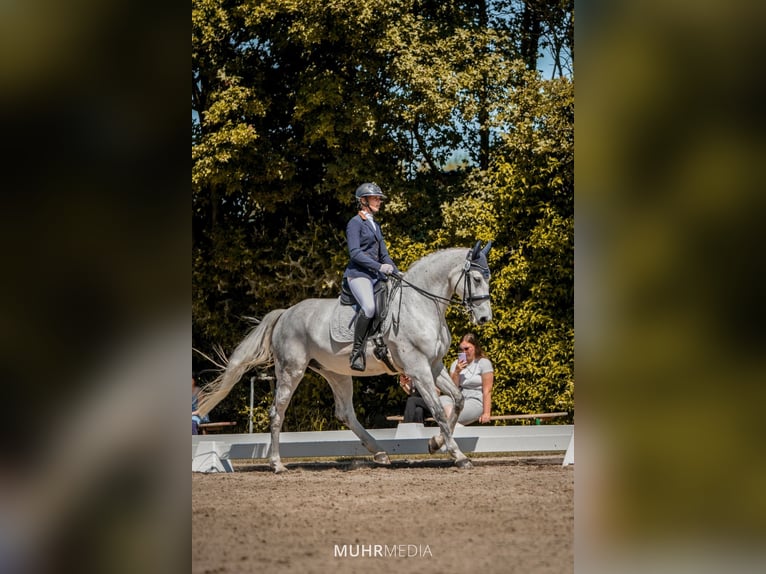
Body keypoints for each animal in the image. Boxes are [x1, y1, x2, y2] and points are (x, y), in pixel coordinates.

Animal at [198, 242, 496, 472]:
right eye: (477, 279)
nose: (484, 318)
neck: (420, 305)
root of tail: (285, 313)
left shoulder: (433, 366)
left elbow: (457, 401)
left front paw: (435, 443)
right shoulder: (418, 368)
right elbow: (438, 411)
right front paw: (458, 456)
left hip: (336, 372)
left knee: (345, 413)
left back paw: (379, 452)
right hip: (292, 370)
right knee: (277, 411)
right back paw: (277, 464)